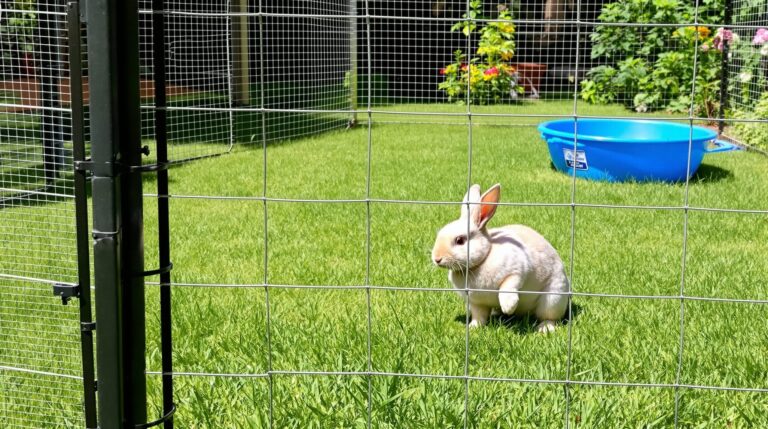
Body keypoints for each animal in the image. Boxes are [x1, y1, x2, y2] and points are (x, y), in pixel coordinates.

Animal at [431, 183, 569, 333]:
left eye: (460, 240)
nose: (437, 258)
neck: (483, 259)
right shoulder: (477, 302)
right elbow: (479, 316)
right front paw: (473, 327)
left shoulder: (517, 270)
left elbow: (507, 286)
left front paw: (508, 307)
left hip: (552, 299)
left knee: (549, 317)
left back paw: (544, 329)